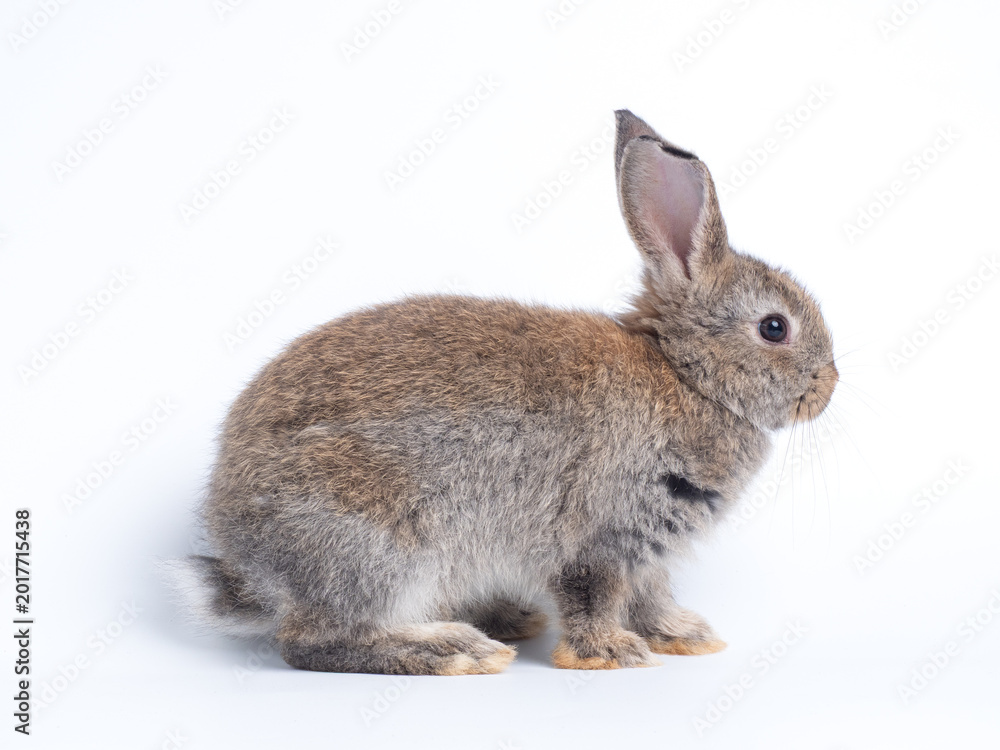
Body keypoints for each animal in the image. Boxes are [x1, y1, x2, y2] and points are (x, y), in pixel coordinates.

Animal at [167, 109, 838, 675]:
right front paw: (612, 654)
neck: (685, 375)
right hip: (377, 547)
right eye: (774, 328)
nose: (828, 387)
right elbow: (595, 594)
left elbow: (651, 596)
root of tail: (250, 565)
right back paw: (455, 651)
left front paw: (685, 637)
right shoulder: (603, 532)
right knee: (312, 641)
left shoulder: (648, 551)